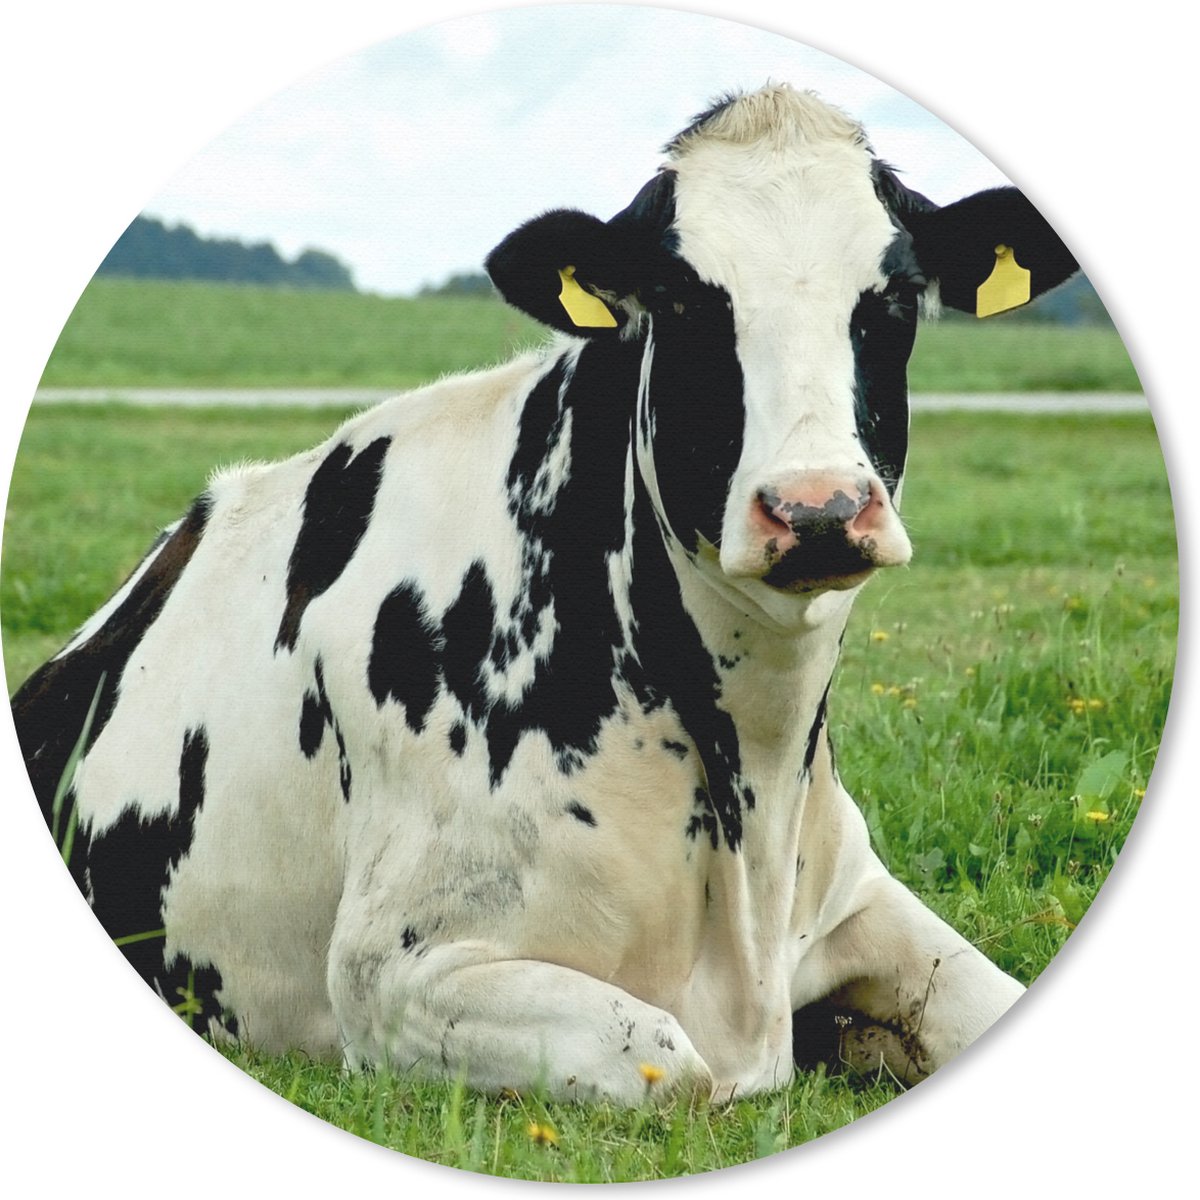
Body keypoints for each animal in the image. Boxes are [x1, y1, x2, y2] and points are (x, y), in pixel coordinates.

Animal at [12, 84, 1077, 1105]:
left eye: (895, 296)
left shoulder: (854, 896)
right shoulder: (394, 974)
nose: (816, 507)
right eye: (681, 301)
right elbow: (677, 1066)